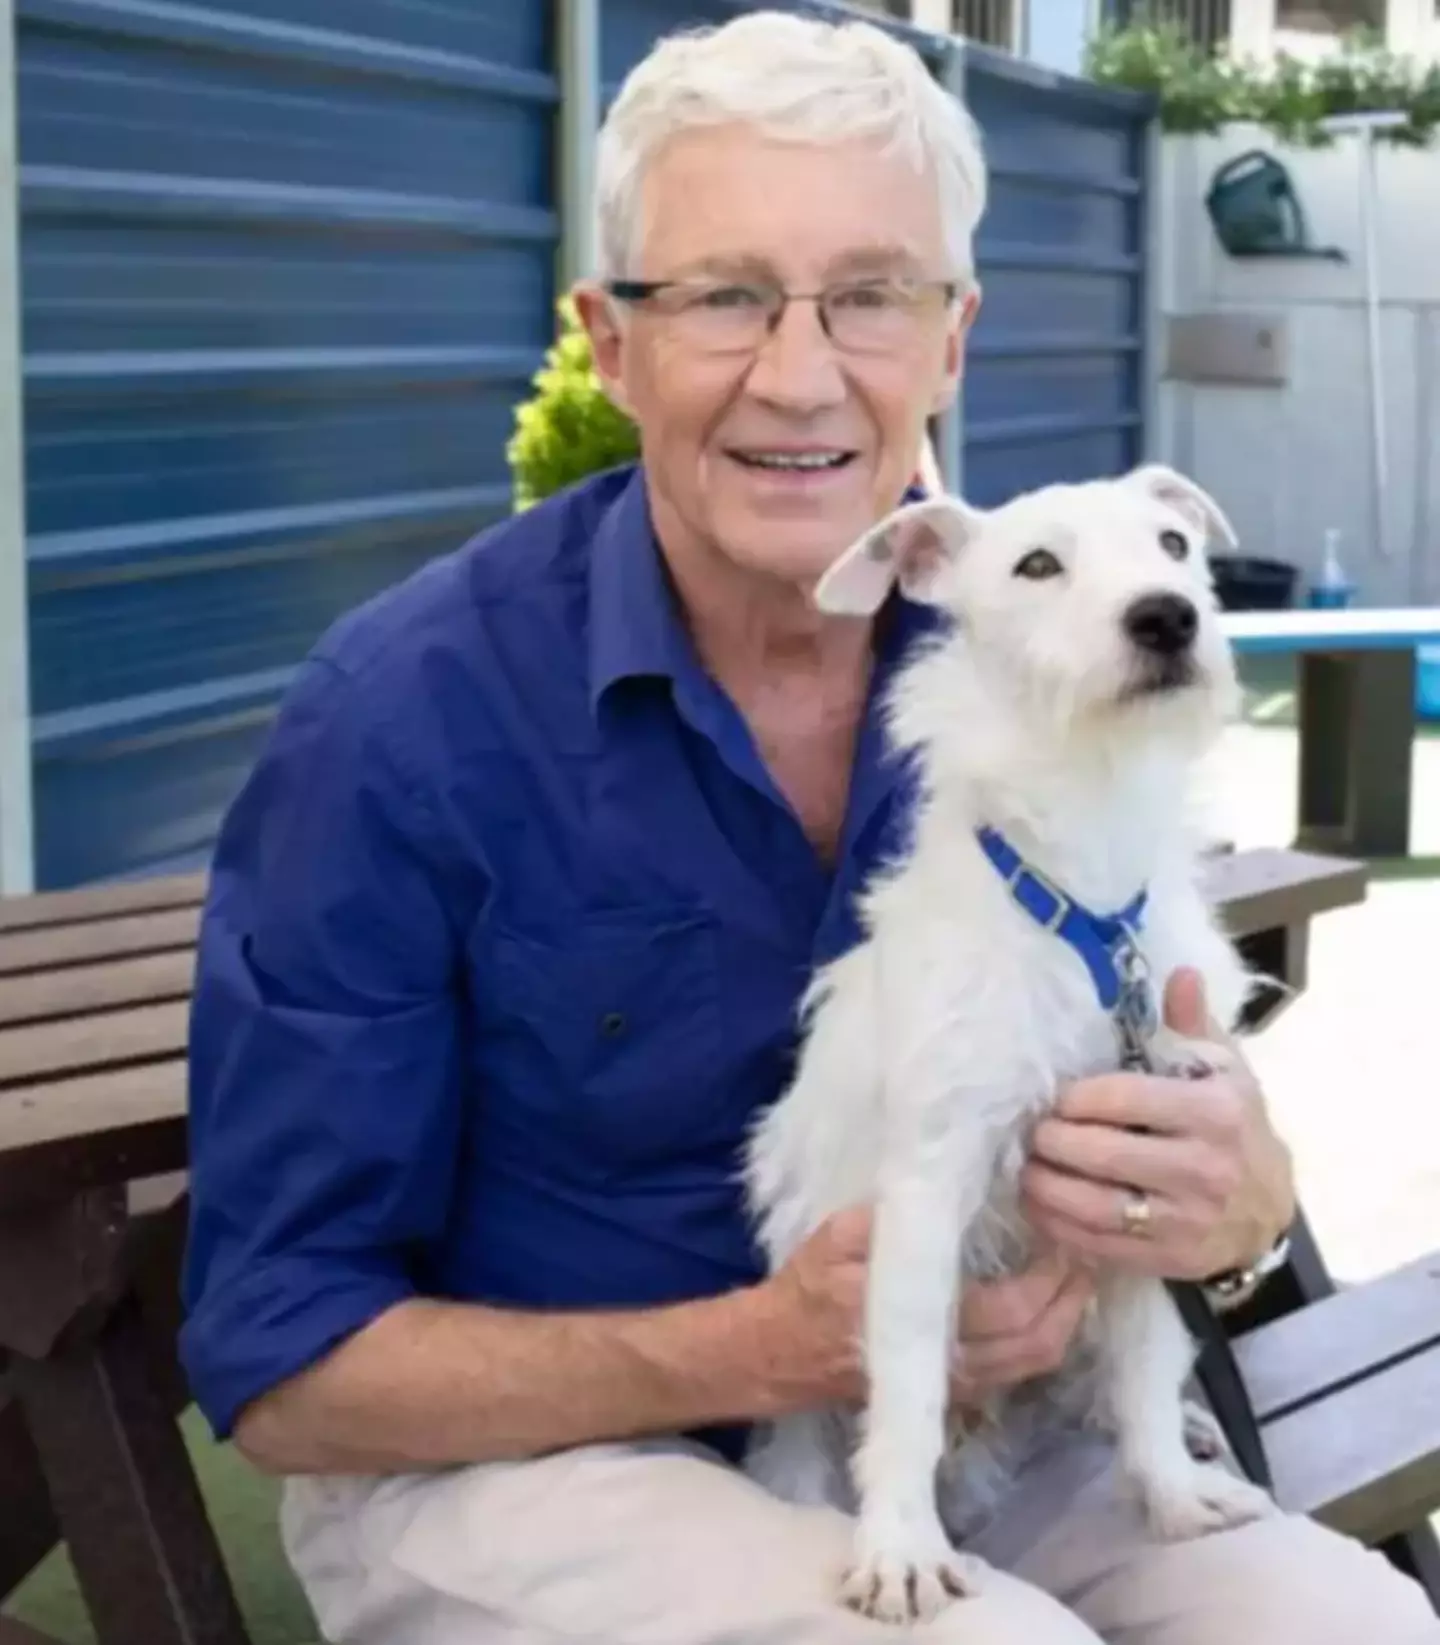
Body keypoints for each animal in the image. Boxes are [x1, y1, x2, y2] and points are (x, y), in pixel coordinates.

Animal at [743, 460, 1270, 1618]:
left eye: (1174, 544)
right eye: (1037, 564)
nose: (1167, 616)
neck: (1086, 894)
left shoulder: (1142, 1183)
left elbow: (1146, 1350)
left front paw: (1168, 1491)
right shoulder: (927, 1191)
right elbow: (904, 1378)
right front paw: (898, 1545)